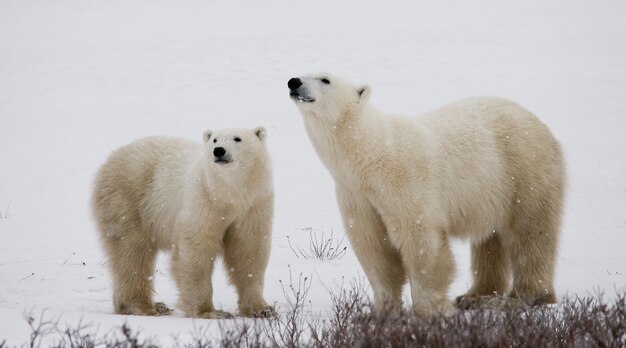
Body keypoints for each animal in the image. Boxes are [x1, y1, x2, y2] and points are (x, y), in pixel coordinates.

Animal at [89, 127, 272, 318]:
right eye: (214, 140)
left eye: (237, 138)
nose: (219, 151)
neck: (228, 195)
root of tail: (111, 158)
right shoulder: (203, 200)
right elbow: (196, 250)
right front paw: (210, 312)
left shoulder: (254, 205)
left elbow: (248, 250)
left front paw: (262, 309)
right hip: (128, 199)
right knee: (132, 251)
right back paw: (144, 307)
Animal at [288, 73, 564, 316]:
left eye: (325, 79)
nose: (294, 82)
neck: (372, 155)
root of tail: (541, 125)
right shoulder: (356, 195)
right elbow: (373, 245)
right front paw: (382, 310)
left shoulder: (405, 181)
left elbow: (420, 241)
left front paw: (429, 310)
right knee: (489, 240)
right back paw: (476, 296)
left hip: (524, 170)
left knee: (531, 233)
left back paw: (523, 298)